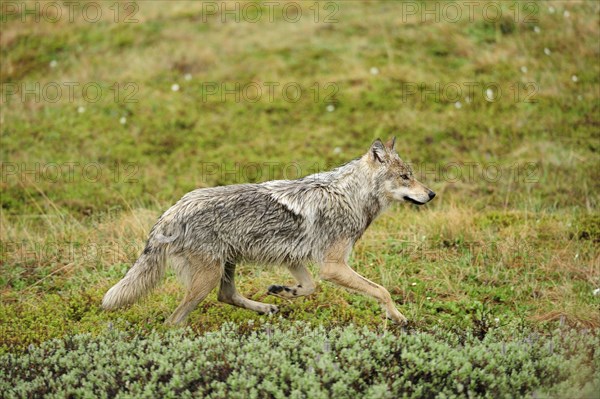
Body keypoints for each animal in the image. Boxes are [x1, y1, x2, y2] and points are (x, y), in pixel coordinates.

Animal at [101, 139, 434, 326]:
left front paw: (284, 291)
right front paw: (398, 318)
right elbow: (382, 290)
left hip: (225, 267)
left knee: (226, 295)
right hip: (207, 277)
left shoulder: (293, 259)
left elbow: (309, 287)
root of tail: (170, 212)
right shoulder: (333, 267)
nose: (431, 194)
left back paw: (266, 307)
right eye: (405, 177)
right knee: (173, 321)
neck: (350, 196)